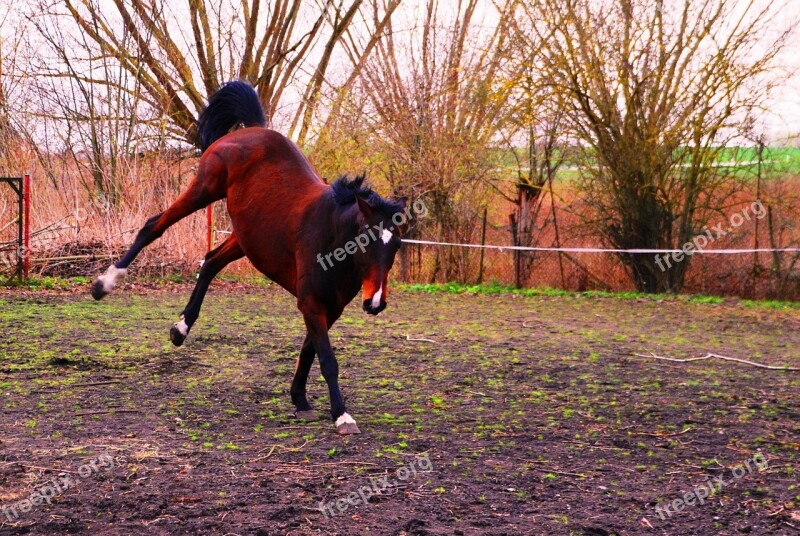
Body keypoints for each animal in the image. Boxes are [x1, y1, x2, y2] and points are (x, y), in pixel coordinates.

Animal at [91, 80, 406, 436]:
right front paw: (341, 415)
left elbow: (308, 350)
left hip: (245, 237)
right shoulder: (311, 302)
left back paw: (180, 329)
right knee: (152, 227)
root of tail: (251, 130)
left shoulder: (330, 307)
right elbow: (326, 359)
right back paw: (105, 284)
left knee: (210, 261)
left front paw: (299, 397)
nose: (375, 302)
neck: (330, 234)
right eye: (365, 240)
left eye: (396, 245)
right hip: (205, 189)